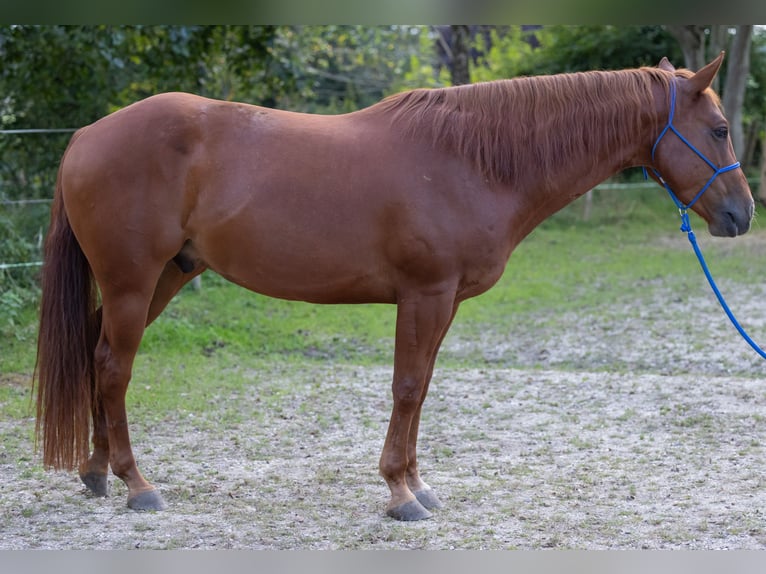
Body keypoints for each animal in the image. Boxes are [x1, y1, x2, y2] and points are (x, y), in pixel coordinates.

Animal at [36, 54, 756, 520]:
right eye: (720, 130)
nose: (741, 215)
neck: (469, 160)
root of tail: (87, 135)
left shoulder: (441, 303)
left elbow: (422, 388)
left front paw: (417, 484)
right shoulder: (425, 295)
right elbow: (407, 387)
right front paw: (400, 495)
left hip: (164, 277)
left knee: (98, 357)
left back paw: (97, 472)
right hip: (133, 281)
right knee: (113, 366)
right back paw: (137, 484)